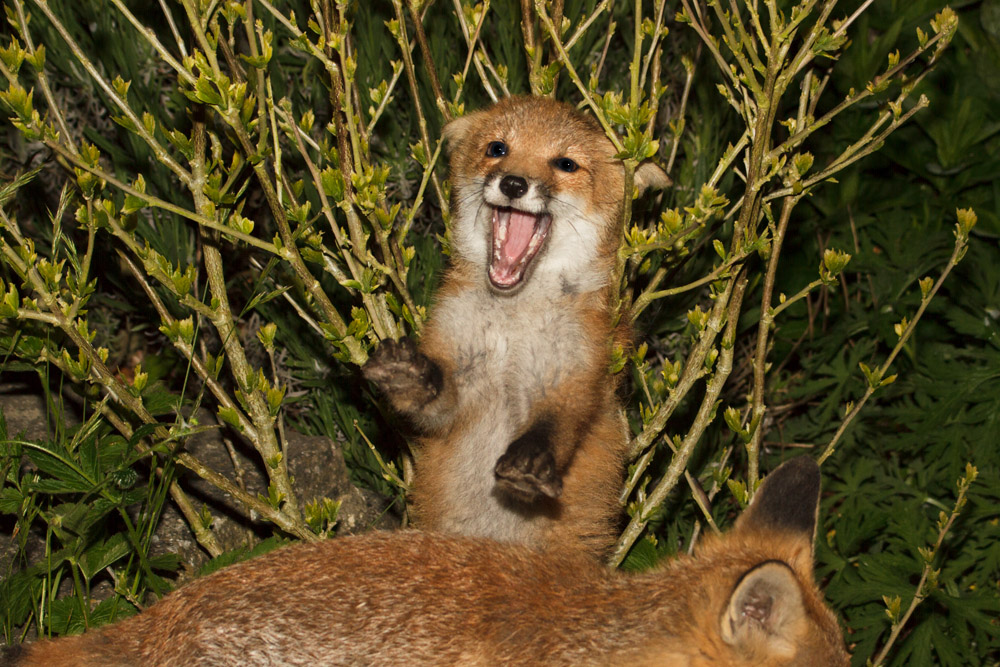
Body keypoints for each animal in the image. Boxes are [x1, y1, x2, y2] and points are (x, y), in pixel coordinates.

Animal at [363, 95, 668, 556]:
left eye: (565, 164)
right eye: (497, 149)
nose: (513, 184)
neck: (513, 325)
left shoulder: (573, 374)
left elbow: (558, 423)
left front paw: (531, 461)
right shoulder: (458, 379)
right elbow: (434, 396)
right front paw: (409, 377)